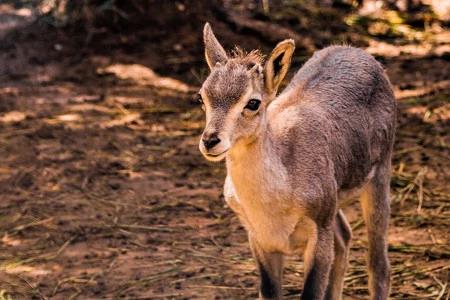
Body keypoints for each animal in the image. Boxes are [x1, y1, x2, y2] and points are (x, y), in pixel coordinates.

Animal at [199, 24, 396, 300]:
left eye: (253, 102)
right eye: (202, 97)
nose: (210, 140)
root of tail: (356, 51)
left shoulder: (319, 230)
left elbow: (311, 293)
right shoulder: (259, 239)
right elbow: (269, 292)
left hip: (379, 176)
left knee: (379, 266)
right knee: (345, 236)